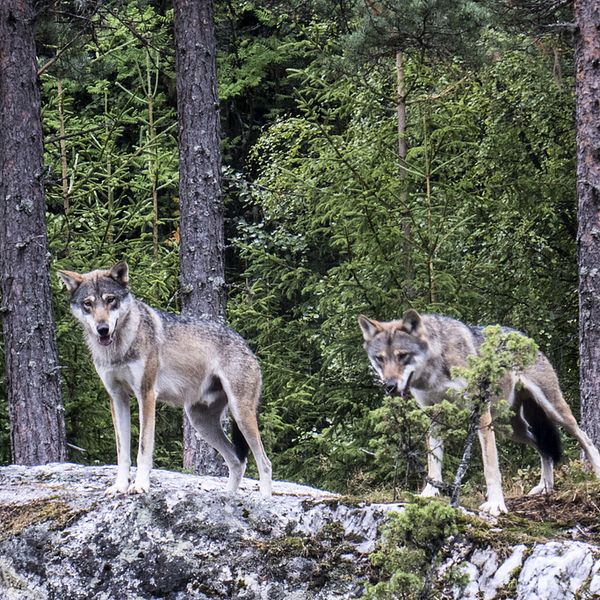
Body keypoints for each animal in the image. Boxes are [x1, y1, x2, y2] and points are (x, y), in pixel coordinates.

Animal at [57, 262, 274, 496]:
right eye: (88, 304)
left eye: (110, 300)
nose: (103, 329)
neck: (120, 349)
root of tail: (247, 347)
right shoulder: (117, 398)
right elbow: (122, 453)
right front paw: (119, 486)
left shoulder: (146, 395)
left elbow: (143, 448)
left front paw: (140, 485)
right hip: (200, 421)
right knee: (237, 462)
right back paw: (229, 497)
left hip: (240, 415)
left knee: (264, 462)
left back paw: (263, 499)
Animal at [358, 310, 600, 516]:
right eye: (380, 358)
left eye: (403, 355)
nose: (389, 386)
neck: (434, 370)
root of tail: (523, 336)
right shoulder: (434, 417)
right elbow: (433, 462)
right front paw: (429, 493)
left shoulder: (481, 413)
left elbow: (490, 466)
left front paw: (496, 504)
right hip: (509, 429)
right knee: (543, 448)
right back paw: (545, 487)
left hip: (553, 411)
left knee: (584, 438)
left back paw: (595, 473)